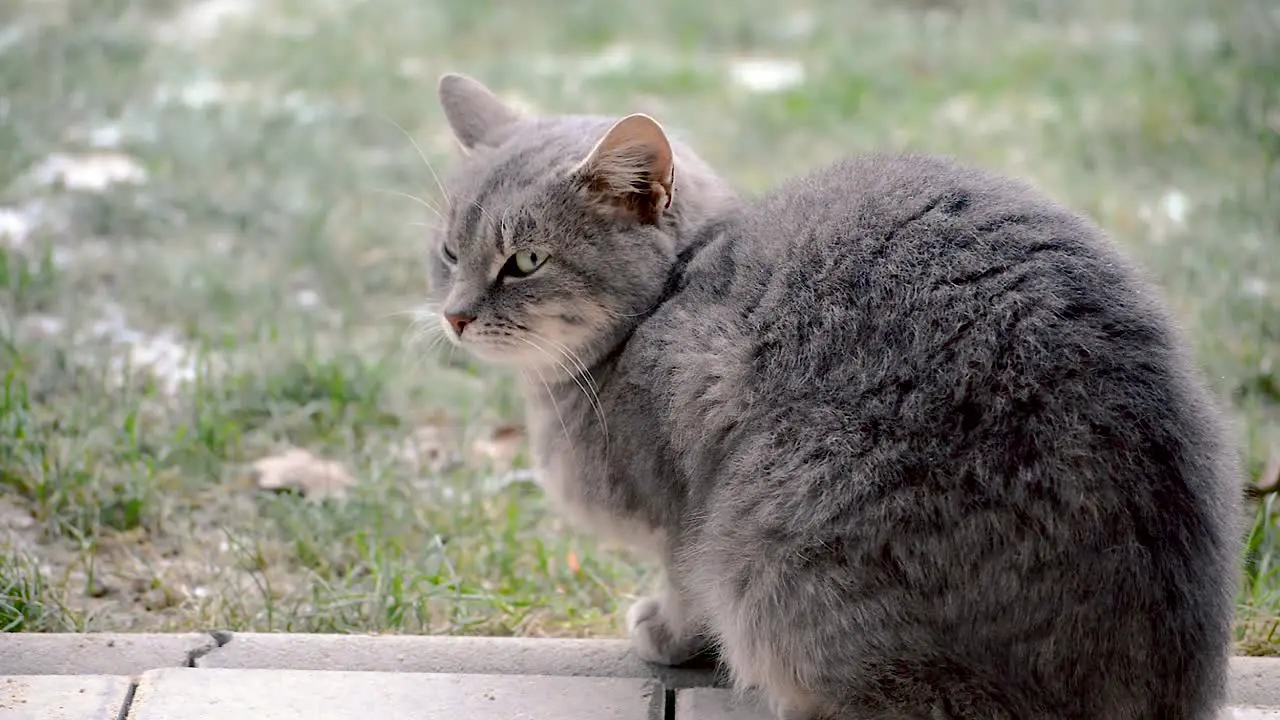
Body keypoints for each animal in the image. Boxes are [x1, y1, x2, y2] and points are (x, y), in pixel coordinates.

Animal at [424, 74, 1244, 717]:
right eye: (449, 252)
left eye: (527, 261)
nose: (455, 315)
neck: (670, 293)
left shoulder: (684, 514)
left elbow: (684, 584)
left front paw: (666, 632)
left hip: (773, 551)